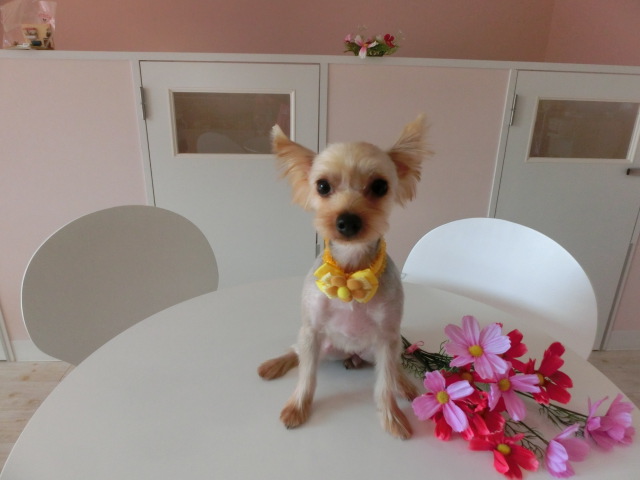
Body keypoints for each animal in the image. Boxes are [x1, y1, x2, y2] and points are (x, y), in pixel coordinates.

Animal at [258, 115, 430, 439]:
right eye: (322, 186)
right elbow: (307, 377)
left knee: (394, 370)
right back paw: (276, 363)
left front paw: (392, 416)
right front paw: (298, 406)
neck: (350, 271)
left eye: (380, 186)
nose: (347, 221)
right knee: (297, 352)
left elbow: (384, 384)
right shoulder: (312, 330)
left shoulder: (388, 337)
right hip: (321, 345)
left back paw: (404, 383)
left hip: (381, 349)